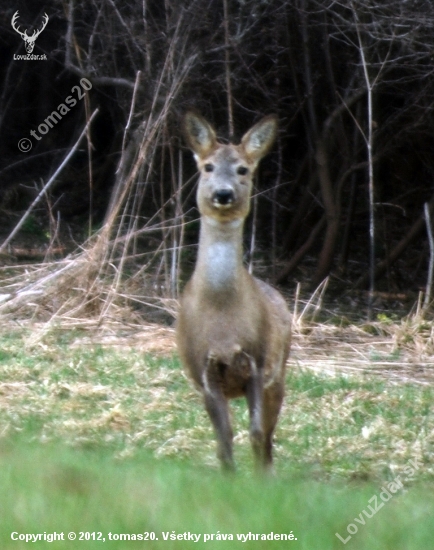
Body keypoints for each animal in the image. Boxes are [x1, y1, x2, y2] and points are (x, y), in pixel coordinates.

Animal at [176, 112, 292, 474]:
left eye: (243, 169)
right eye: (208, 166)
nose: (224, 193)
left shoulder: (257, 360)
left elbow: (255, 433)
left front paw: (257, 480)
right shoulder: (203, 367)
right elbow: (224, 442)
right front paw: (229, 476)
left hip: (279, 372)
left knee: (268, 437)